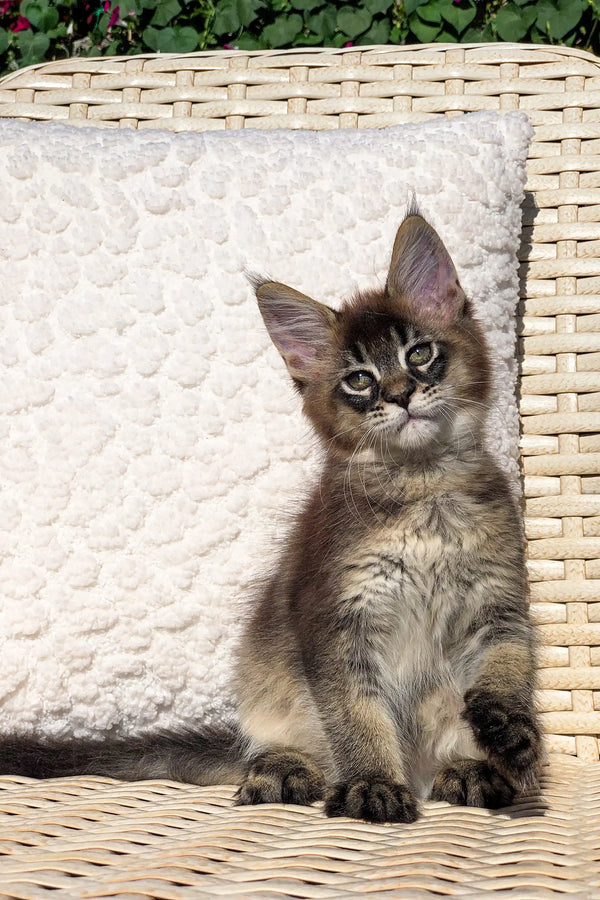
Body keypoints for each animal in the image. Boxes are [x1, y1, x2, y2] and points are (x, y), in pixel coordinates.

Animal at [0, 211, 540, 824]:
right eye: (359, 379)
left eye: (420, 354)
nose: (402, 395)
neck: (423, 486)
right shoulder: (335, 619)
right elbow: (356, 714)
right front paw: (373, 783)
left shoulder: (499, 601)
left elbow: (508, 668)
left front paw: (509, 732)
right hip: (269, 682)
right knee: (281, 747)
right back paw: (284, 770)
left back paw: (468, 771)